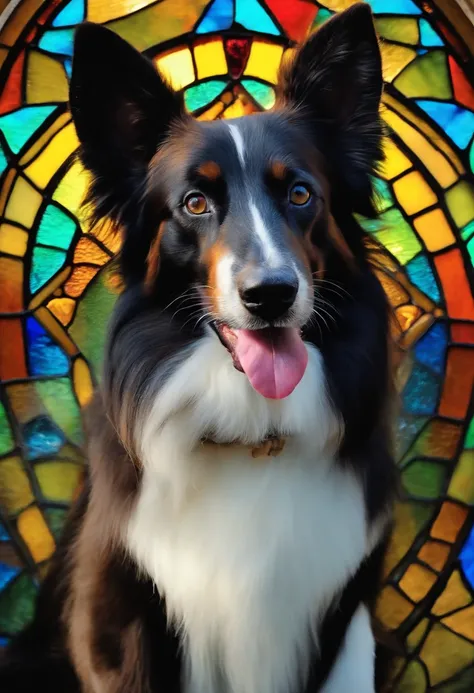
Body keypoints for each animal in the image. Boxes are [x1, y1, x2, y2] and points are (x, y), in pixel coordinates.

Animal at [0, 5, 396, 692]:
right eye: (194, 202)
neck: (253, 430)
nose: (271, 294)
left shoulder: (341, 622)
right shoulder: (115, 623)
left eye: (300, 194)